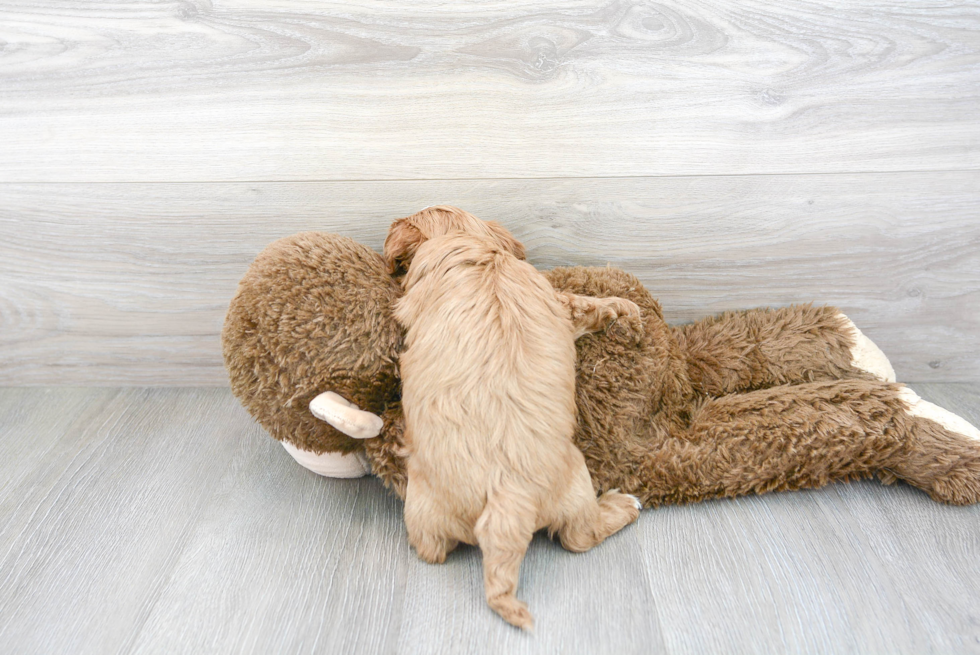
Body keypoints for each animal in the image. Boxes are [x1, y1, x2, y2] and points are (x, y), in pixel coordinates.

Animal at [382, 209, 644, 632]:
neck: (475, 250)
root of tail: (507, 496)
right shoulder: (561, 304)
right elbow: (587, 305)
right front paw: (624, 306)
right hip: (575, 479)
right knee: (580, 536)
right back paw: (624, 504)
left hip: (423, 505)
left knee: (430, 548)